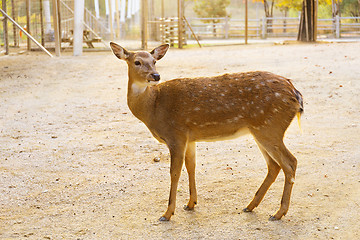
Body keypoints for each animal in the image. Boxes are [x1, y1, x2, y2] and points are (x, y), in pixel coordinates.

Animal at [109, 41, 304, 221]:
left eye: (154, 61)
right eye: (137, 62)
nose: (155, 75)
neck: (153, 107)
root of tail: (295, 94)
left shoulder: (176, 135)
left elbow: (174, 172)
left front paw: (167, 213)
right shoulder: (189, 138)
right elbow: (191, 167)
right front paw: (190, 204)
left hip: (270, 127)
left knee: (290, 162)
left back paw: (278, 213)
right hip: (260, 130)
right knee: (274, 166)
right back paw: (250, 206)